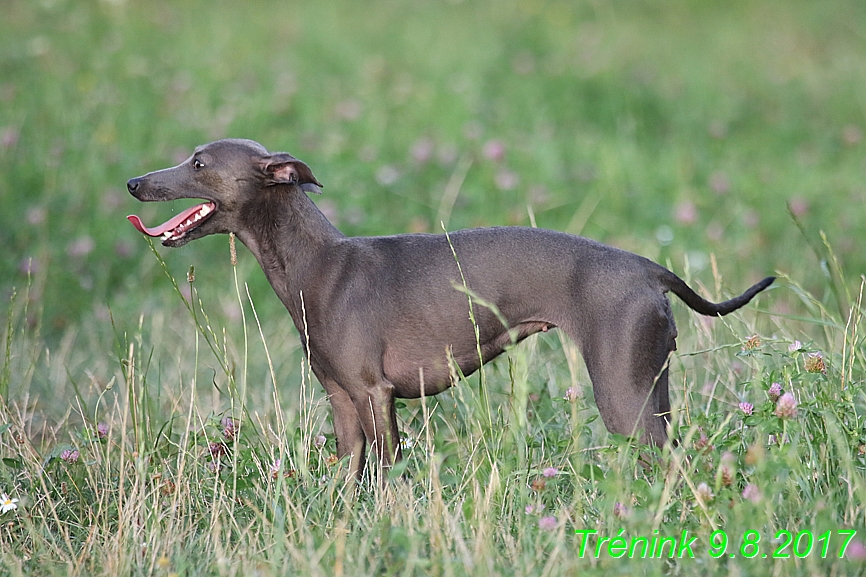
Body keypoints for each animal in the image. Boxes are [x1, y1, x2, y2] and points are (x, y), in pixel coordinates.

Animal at [126, 140, 768, 476]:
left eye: (199, 163)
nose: (133, 183)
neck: (318, 263)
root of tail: (648, 269)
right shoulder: (342, 401)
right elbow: (350, 475)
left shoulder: (375, 395)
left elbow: (388, 477)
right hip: (651, 386)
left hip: (624, 396)